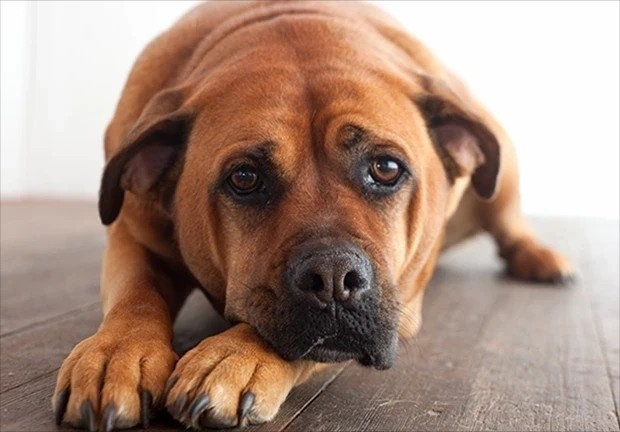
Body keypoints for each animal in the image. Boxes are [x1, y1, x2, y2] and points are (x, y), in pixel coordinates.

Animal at [52, 1, 573, 430]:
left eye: (386, 169)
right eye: (245, 178)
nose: (333, 276)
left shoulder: (403, 303)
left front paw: (236, 356)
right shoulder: (132, 234)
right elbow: (135, 295)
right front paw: (117, 353)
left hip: (503, 167)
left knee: (509, 223)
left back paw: (541, 258)